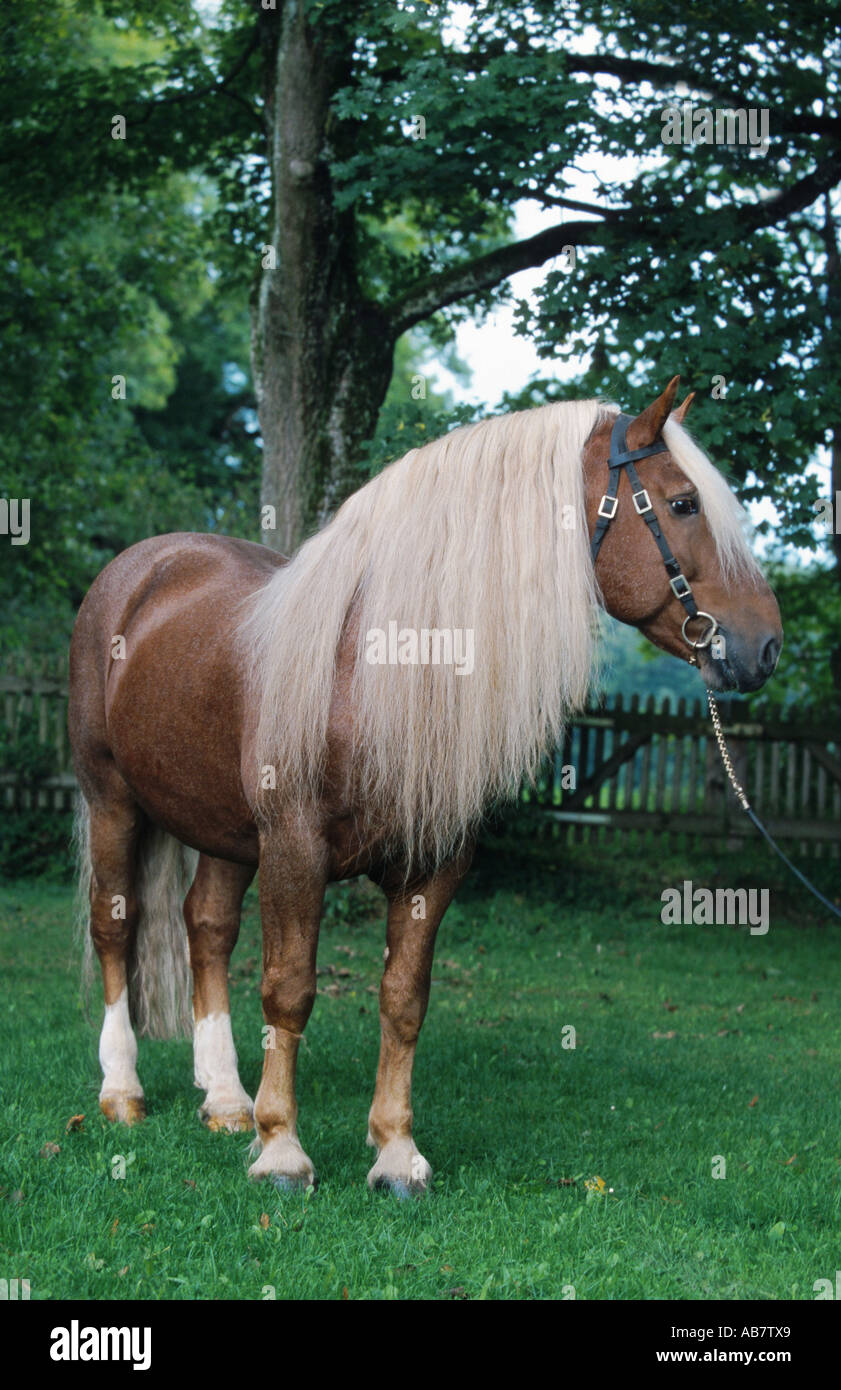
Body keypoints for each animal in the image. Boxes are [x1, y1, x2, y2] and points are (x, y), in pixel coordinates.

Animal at [67, 378, 778, 1195]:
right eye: (683, 503)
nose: (765, 646)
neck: (374, 666)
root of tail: (142, 568)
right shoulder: (295, 849)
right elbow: (289, 988)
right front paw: (283, 1151)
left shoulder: (432, 865)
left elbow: (404, 999)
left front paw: (395, 1154)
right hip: (112, 800)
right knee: (114, 926)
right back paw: (123, 1091)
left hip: (221, 830)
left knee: (207, 928)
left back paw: (224, 1099)